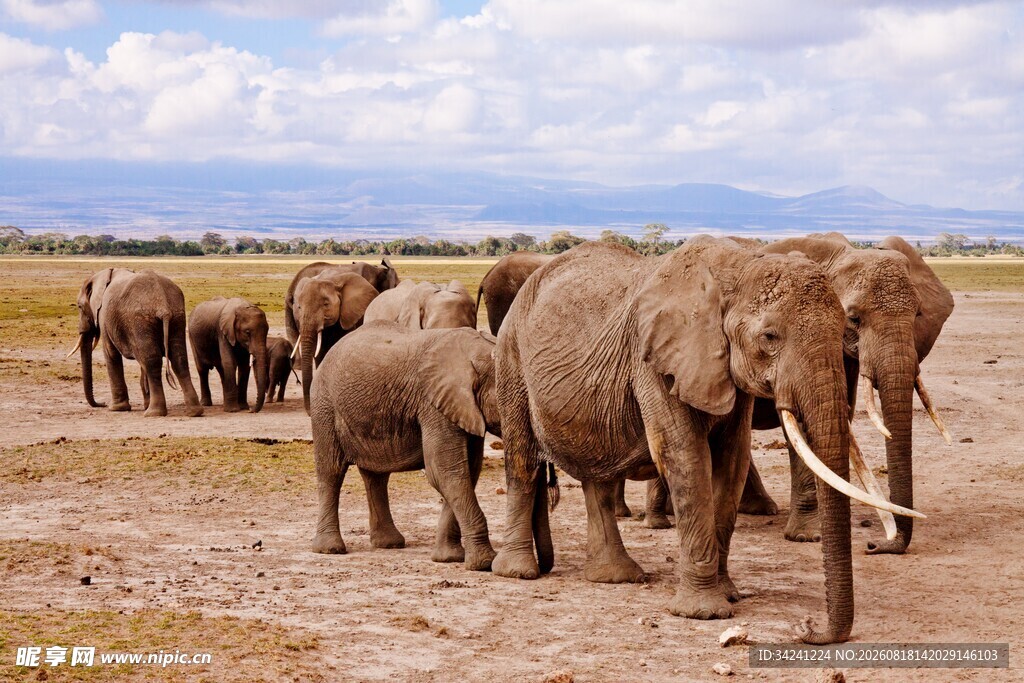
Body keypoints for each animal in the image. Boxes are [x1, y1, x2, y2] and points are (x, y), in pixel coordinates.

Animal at [68, 268, 202, 417]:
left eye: (80, 307)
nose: (102, 404)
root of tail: (162, 304)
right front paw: (144, 404)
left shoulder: (104, 316)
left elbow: (111, 353)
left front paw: (117, 408)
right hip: (177, 317)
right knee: (178, 359)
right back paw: (194, 411)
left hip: (140, 319)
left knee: (152, 362)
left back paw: (153, 413)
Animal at [292, 270, 380, 412]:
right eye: (299, 307)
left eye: (326, 304)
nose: (309, 411)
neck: (332, 281)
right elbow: (320, 354)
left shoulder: (349, 315)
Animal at [309, 322, 501, 571]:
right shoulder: (434, 405)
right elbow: (445, 471)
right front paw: (485, 563)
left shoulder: (464, 409)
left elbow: (466, 472)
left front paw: (448, 558)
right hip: (324, 405)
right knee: (331, 471)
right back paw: (330, 549)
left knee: (376, 476)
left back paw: (389, 544)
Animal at [491, 237, 922, 645]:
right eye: (769, 337)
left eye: (844, 328)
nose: (807, 628)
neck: (737, 268)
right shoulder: (655, 361)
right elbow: (686, 457)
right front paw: (704, 612)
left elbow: (732, 461)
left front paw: (728, 593)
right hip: (511, 359)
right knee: (523, 460)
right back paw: (518, 571)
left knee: (597, 475)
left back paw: (614, 577)